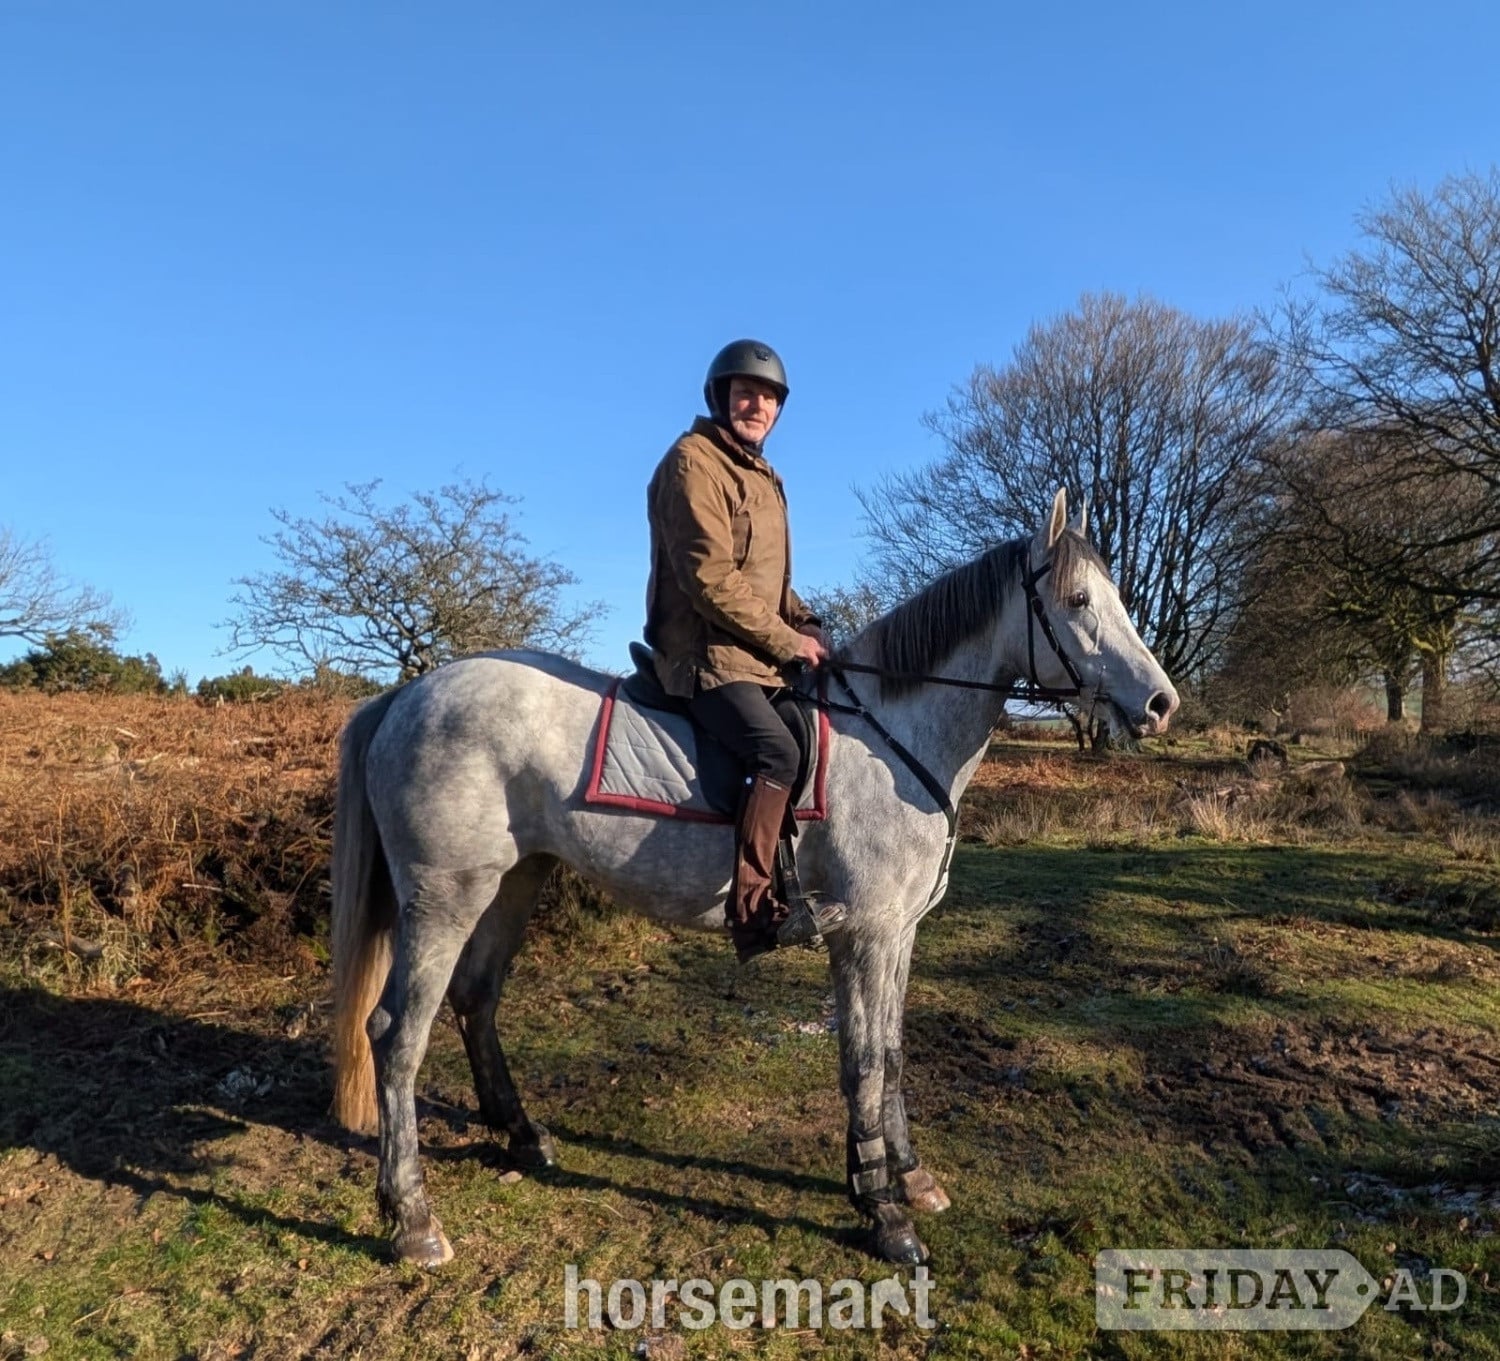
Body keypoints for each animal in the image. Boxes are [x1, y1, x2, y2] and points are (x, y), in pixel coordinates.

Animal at [329, 489, 1179, 1268]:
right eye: (1077, 601)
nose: (1161, 702)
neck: (891, 739)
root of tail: (406, 693)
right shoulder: (863, 937)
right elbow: (863, 1063)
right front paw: (882, 1209)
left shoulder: (898, 933)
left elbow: (893, 1053)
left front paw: (911, 1176)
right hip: (446, 896)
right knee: (396, 1033)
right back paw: (411, 1216)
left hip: (515, 881)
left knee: (476, 1000)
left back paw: (522, 1135)